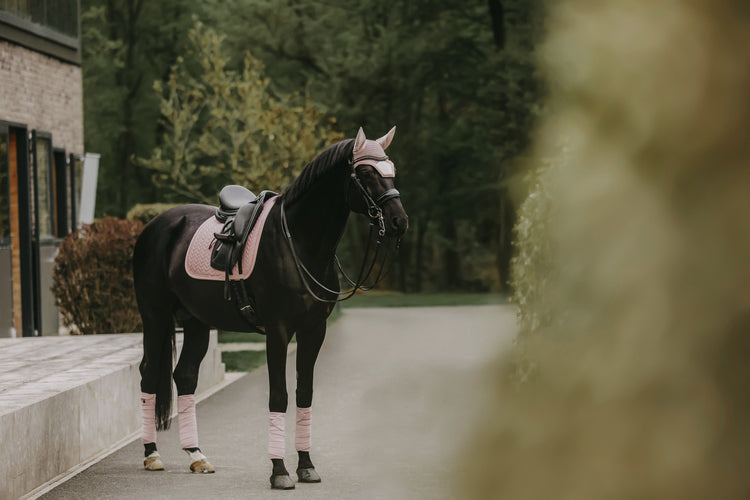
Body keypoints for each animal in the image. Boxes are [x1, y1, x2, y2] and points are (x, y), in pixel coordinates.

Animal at [132, 127, 408, 490]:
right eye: (364, 172)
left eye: (391, 169)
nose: (399, 220)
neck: (299, 244)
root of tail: (155, 225)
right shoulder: (278, 331)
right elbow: (279, 396)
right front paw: (279, 471)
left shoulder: (313, 330)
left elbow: (304, 393)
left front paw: (306, 465)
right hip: (155, 317)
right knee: (150, 373)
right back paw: (151, 454)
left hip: (196, 323)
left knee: (185, 375)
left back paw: (196, 455)